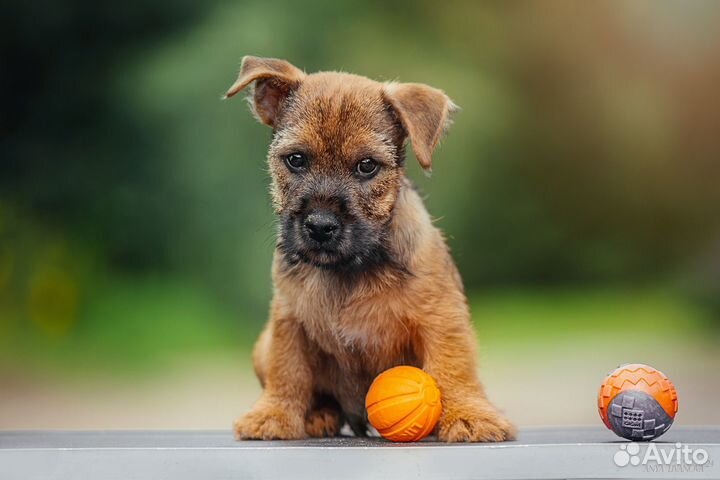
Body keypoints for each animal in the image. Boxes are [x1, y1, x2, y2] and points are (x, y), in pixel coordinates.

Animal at [228, 56, 516, 442]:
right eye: (296, 159)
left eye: (367, 166)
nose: (320, 226)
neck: (351, 267)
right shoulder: (289, 319)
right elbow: (287, 369)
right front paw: (272, 414)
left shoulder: (441, 319)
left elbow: (452, 369)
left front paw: (470, 416)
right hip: (263, 344)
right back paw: (318, 414)